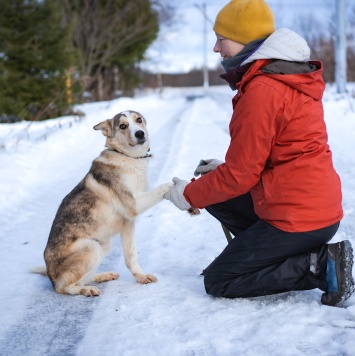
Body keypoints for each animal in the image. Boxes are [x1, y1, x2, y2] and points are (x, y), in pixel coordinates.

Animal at [34, 110, 173, 296]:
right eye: (123, 126)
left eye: (139, 120)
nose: (140, 133)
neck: (127, 157)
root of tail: (50, 274)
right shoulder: (134, 205)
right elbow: (164, 186)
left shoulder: (128, 224)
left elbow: (131, 256)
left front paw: (141, 278)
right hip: (91, 248)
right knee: (64, 287)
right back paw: (87, 290)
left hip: (103, 244)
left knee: (82, 278)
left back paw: (103, 276)